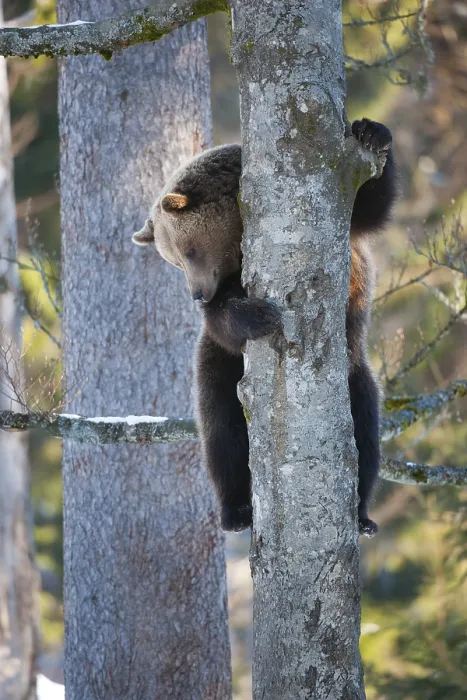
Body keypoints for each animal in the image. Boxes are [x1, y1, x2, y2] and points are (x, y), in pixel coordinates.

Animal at [132, 118, 396, 537]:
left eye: (188, 251)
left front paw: (370, 132)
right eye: (173, 259)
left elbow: (371, 204)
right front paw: (258, 314)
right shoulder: (225, 296)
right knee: (222, 433)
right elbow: (224, 319)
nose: (196, 294)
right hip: (221, 370)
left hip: (354, 369)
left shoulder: (343, 216)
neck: (239, 241)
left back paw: (362, 514)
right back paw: (236, 510)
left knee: (365, 431)